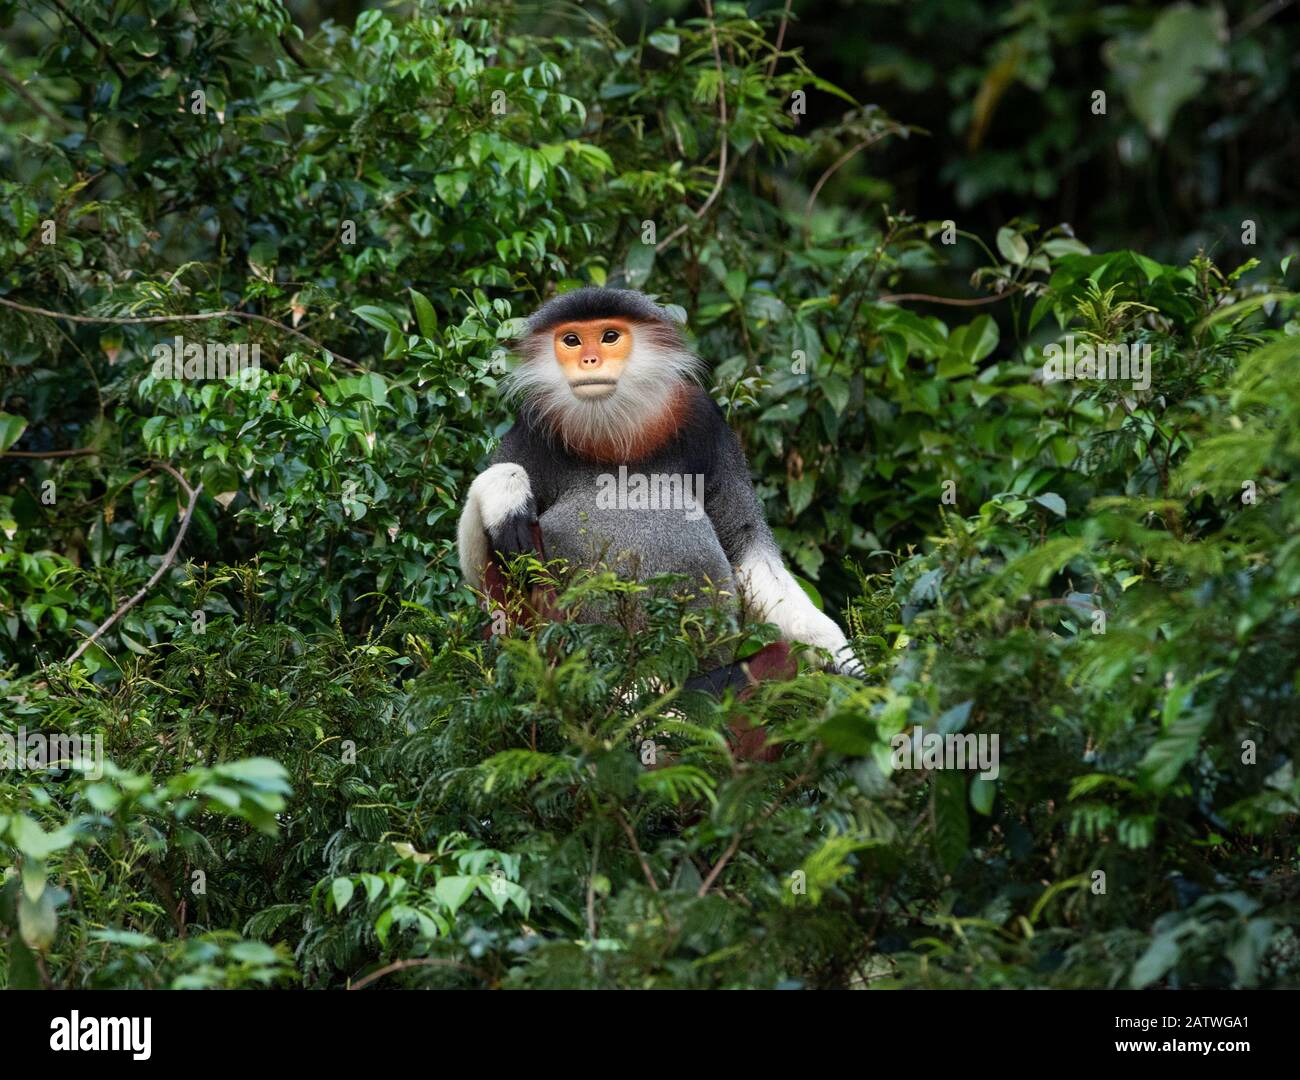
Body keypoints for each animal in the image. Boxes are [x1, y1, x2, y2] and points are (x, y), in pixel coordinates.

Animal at [457, 287, 863, 675]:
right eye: (571, 341)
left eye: (609, 337)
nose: (589, 360)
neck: (612, 433)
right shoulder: (530, 431)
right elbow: (479, 579)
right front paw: (506, 495)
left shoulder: (707, 423)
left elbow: (748, 546)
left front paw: (836, 652)